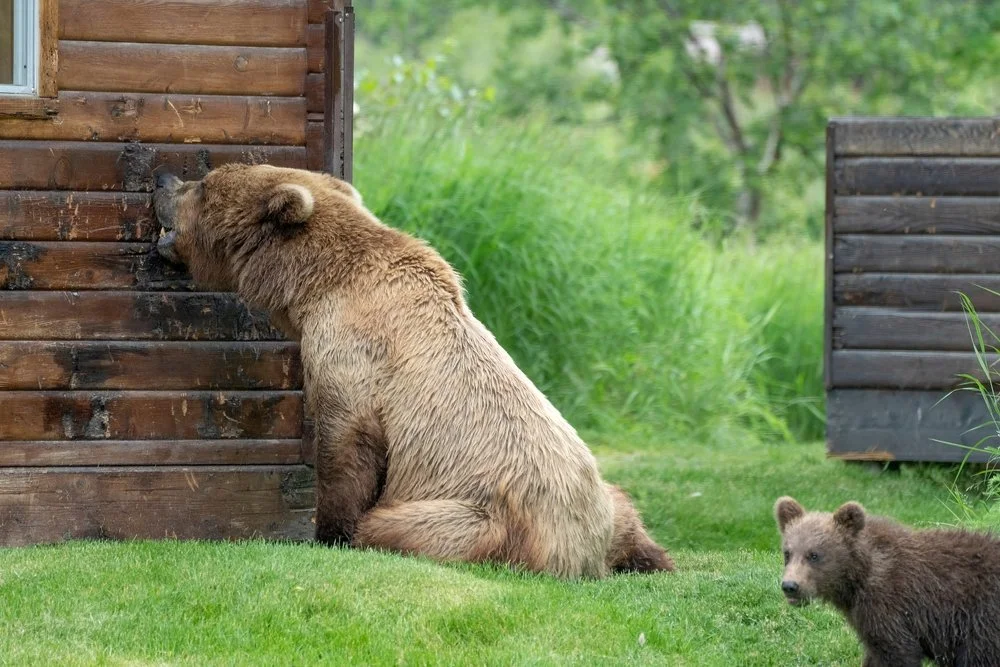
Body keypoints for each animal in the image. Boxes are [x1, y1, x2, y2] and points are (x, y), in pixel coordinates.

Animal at [152, 164, 673, 579]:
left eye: (204, 184)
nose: (163, 180)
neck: (314, 287)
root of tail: (581, 556)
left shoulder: (353, 356)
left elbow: (346, 446)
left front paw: (330, 531)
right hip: (599, 500)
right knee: (625, 507)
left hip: (482, 517)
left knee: (396, 526)